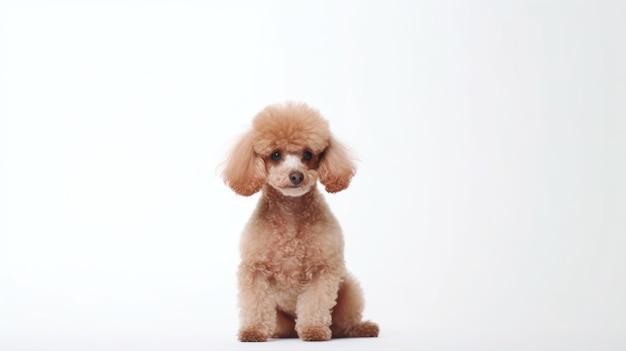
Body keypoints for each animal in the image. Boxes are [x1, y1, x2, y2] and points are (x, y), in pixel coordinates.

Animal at [222, 102, 378, 344]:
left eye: (308, 154)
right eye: (275, 155)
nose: (296, 176)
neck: (291, 215)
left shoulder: (323, 270)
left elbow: (315, 303)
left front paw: (313, 330)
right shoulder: (255, 270)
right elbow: (256, 304)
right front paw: (253, 331)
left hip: (349, 291)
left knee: (344, 326)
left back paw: (363, 328)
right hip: (282, 321)